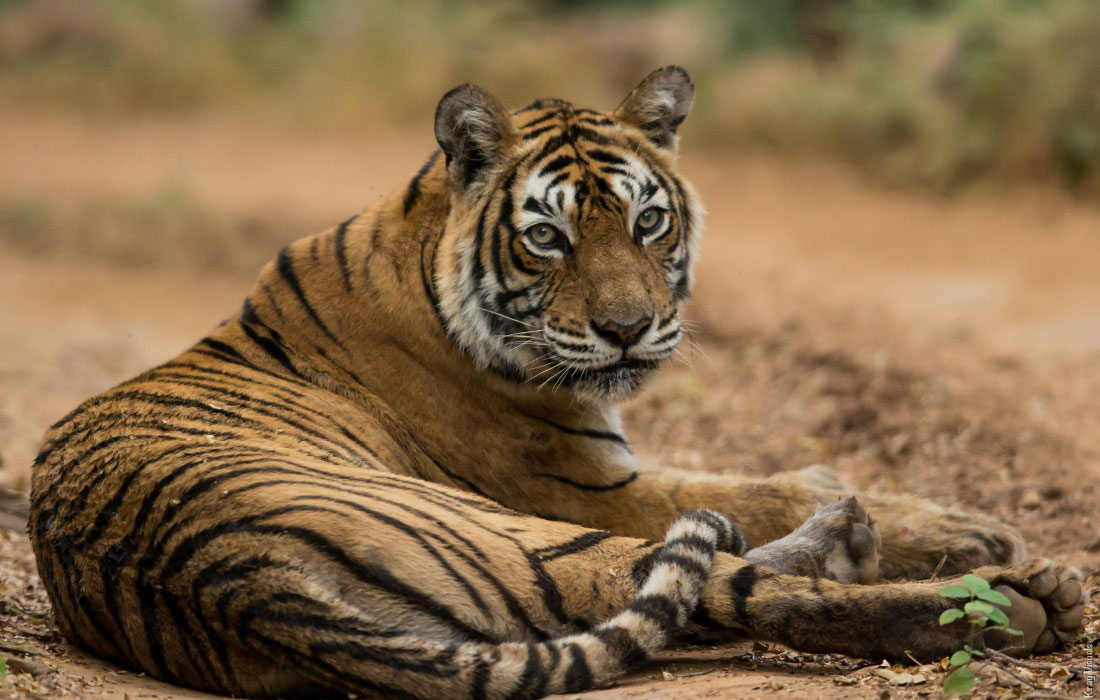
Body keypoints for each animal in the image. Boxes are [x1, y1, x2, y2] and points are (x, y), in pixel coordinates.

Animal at [28, 66, 1085, 699]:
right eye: (548, 235)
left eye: (649, 221)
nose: (626, 330)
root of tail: (239, 581)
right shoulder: (586, 484)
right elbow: (758, 488)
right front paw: (964, 528)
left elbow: (750, 482)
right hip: (520, 534)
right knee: (740, 590)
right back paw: (1014, 596)